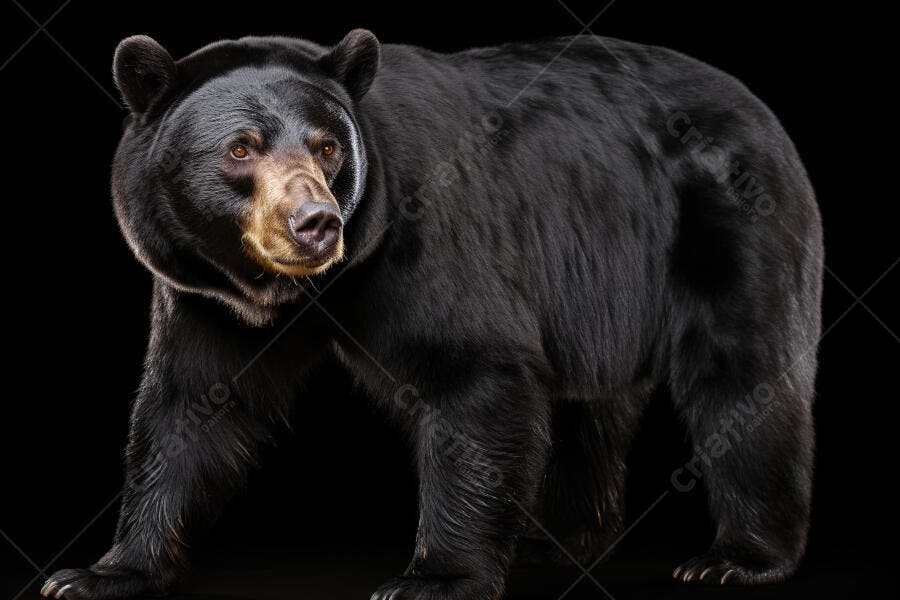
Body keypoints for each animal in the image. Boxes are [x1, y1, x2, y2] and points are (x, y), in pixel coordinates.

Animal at [42, 29, 822, 599]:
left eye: (327, 146)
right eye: (241, 147)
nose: (316, 223)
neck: (303, 288)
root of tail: (764, 116)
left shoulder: (427, 230)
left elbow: (472, 373)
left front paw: (435, 576)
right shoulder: (206, 297)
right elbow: (190, 406)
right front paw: (101, 571)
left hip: (728, 225)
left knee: (741, 375)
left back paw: (737, 557)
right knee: (589, 407)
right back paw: (559, 541)